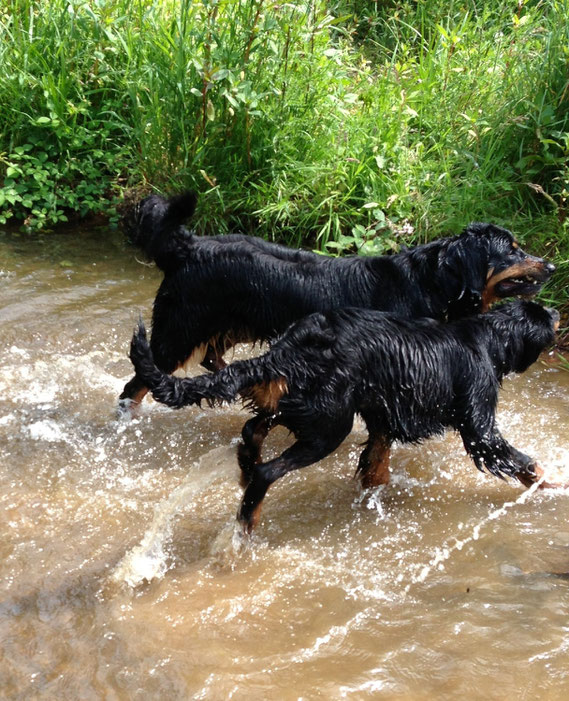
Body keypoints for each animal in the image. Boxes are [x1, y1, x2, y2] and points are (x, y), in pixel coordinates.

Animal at [116, 190, 556, 416]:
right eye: (512, 251)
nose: (552, 265)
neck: (433, 283)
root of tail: (187, 246)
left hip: (225, 325)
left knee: (212, 360)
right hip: (178, 332)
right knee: (137, 383)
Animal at [127, 296, 560, 532]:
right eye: (543, 317)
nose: (557, 311)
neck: (486, 339)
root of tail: (292, 346)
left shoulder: (383, 415)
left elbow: (376, 464)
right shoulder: (479, 422)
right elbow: (519, 459)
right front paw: (553, 482)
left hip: (302, 403)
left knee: (252, 431)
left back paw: (245, 470)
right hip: (329, 425)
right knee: (268, 470)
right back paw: (247, 520)